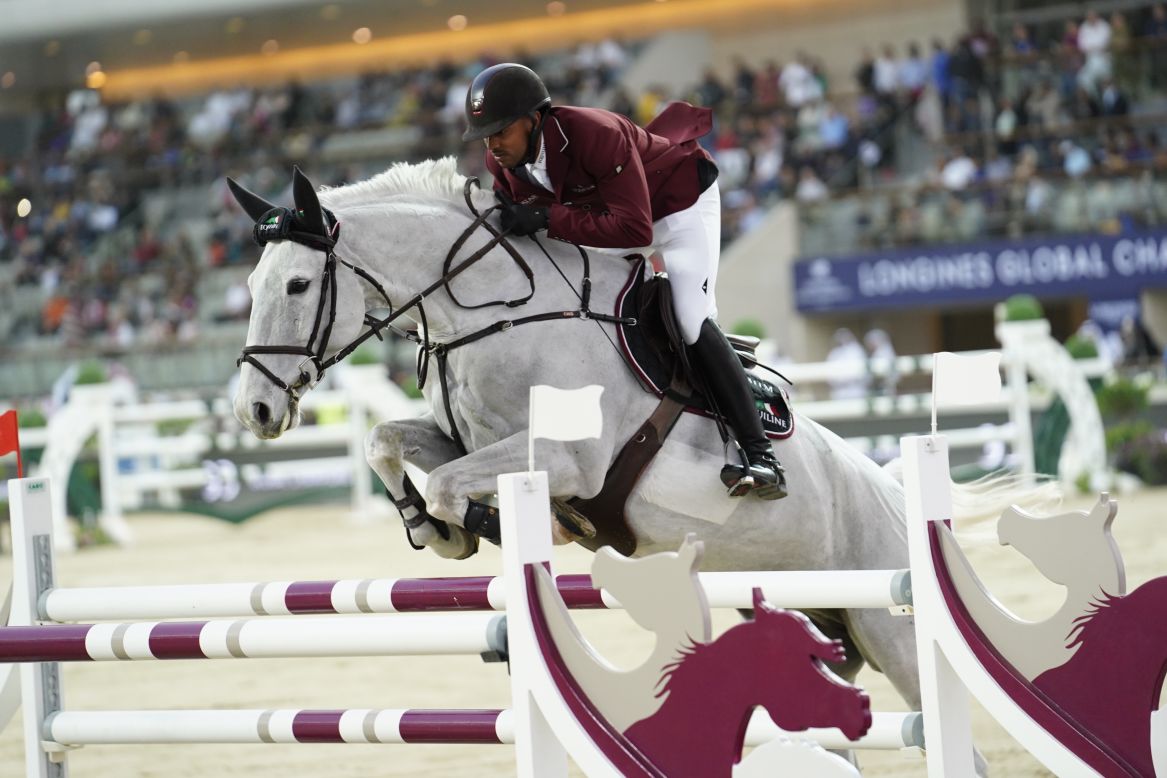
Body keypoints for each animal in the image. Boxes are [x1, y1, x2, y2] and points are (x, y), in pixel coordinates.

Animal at [228, 157, 1033, 753]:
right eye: (252, 285)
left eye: (297, 284)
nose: (255, 411)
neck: (493, 313)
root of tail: (891, 491)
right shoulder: (470, 438)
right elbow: (386, 439)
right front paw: (427, 525)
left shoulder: (566, 462)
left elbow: (459, 485)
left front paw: (478, 529)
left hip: (889, 622)